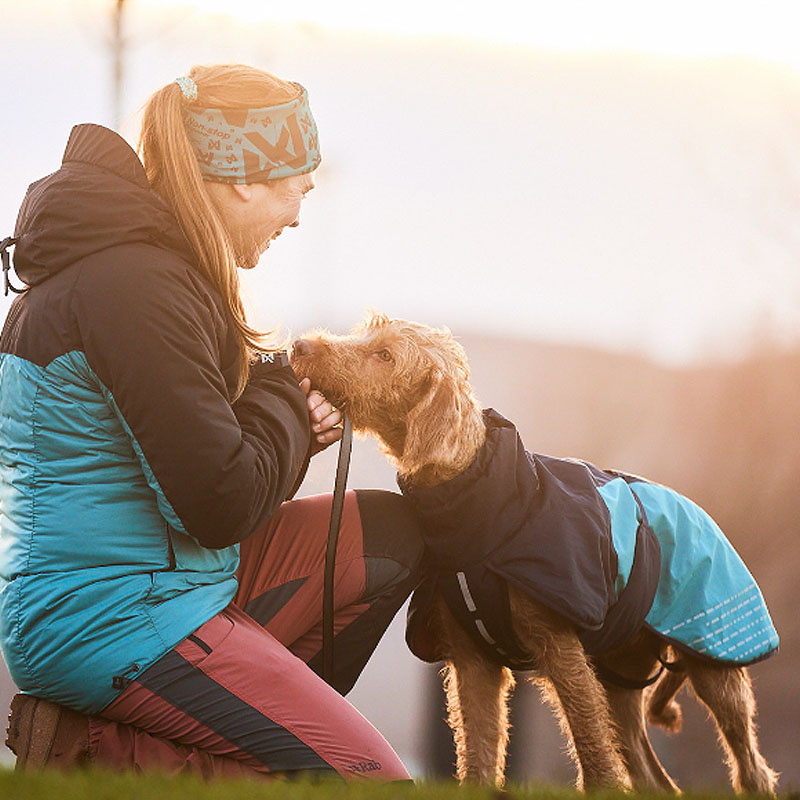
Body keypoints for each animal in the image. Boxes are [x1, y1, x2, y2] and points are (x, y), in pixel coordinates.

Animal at [290, 312, 780, 792]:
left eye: (386, 355)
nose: (300, 345)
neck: (482, 499)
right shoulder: (474, 660)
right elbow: (480, 753)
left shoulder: (560, 648)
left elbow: (591, 748)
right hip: (618, 677)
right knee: (655, 780)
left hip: (717, 660)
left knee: (750, 767)